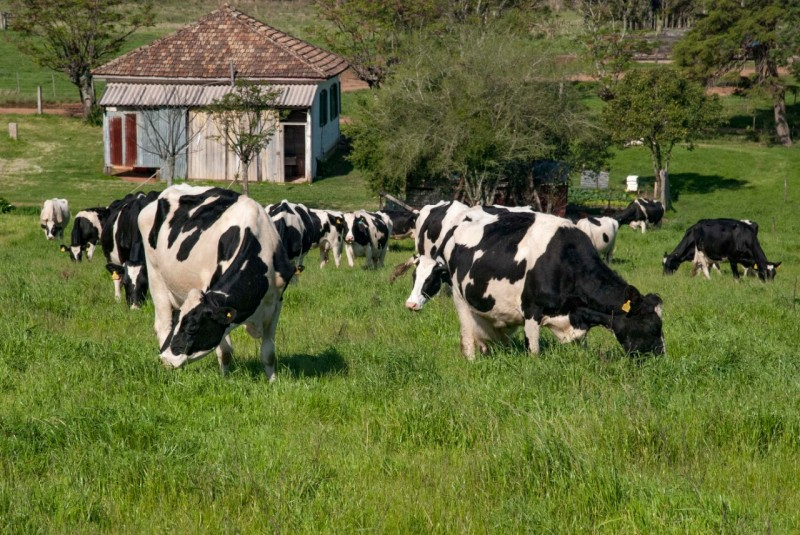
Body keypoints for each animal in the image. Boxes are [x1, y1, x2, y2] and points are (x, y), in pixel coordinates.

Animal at [138, 186, 294, 378]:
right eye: (179, 323)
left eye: (192, 328)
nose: (165, 359)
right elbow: (225, 351)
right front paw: (224, 379)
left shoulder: (276, 302)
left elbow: (268, 353)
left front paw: (271, 380)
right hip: (155, 276)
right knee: (162, 325)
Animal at [404, 209, 664, 360]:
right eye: (652, 325)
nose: (660, 358)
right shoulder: (531, 311)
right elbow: (534, 352)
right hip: (460, 300)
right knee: (468, 337)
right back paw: (471, 359)